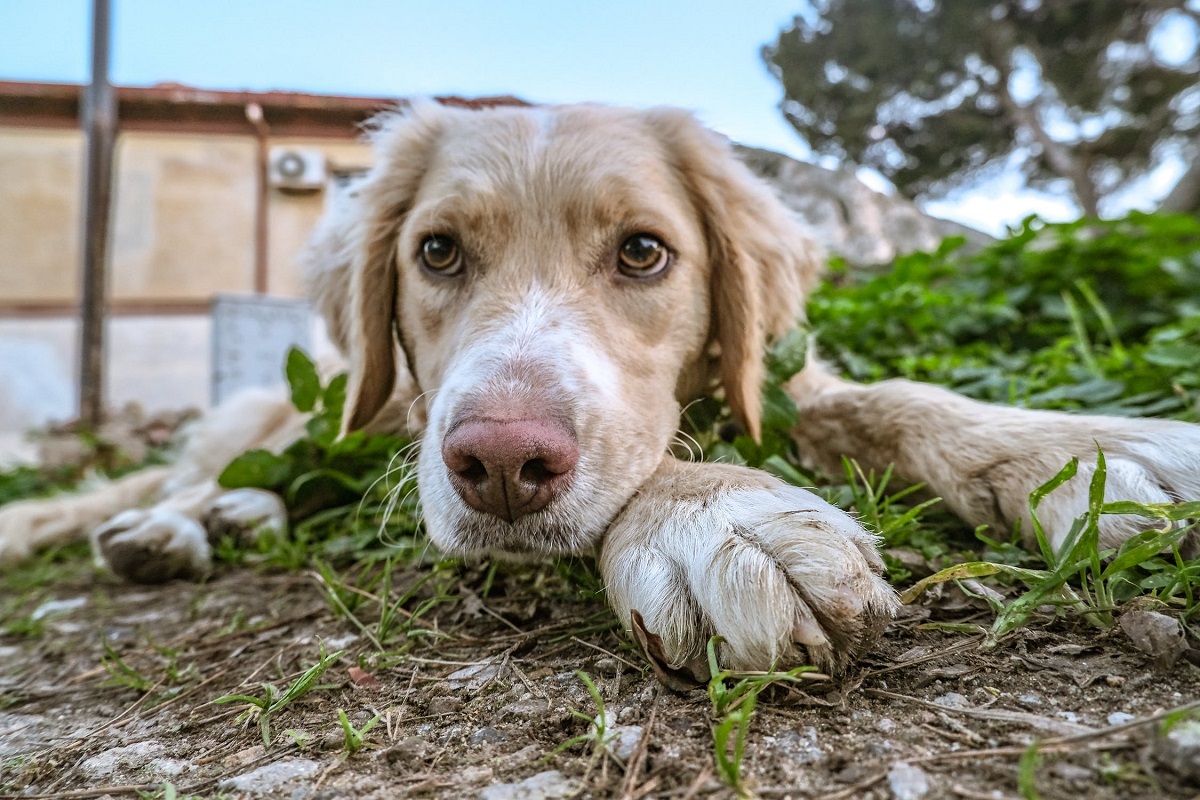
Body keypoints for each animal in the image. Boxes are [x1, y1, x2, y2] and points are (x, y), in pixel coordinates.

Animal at [2, 100, 1200, 676]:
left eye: (642, 253)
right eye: (438, 252)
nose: (497, 464)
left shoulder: (780, 376)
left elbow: (883, 397)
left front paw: (1076, 453)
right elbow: (657, 455)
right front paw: (718, 516)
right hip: (319, 403)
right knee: (213, 472)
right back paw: (179, 523)